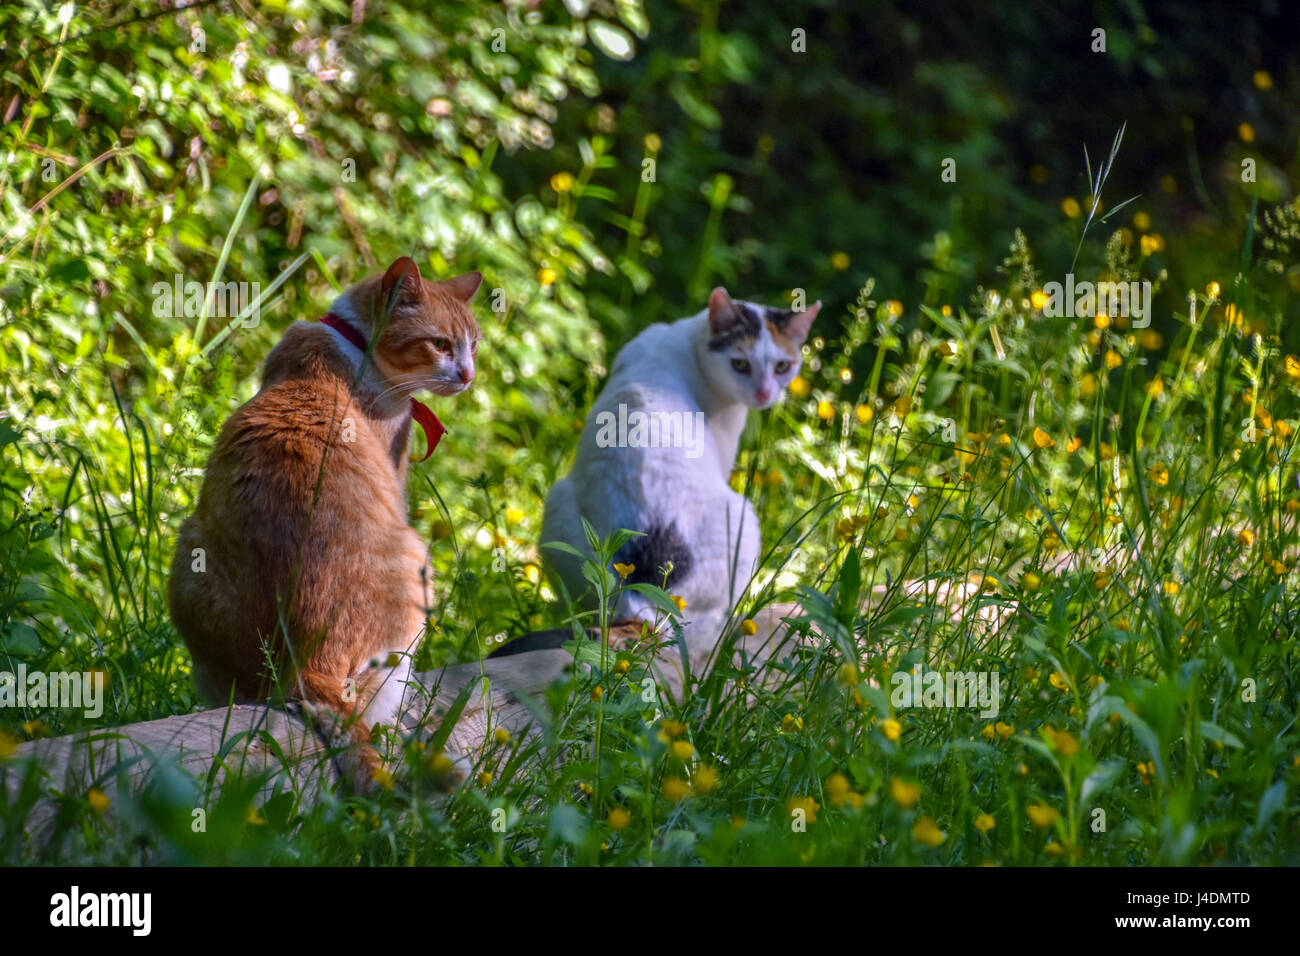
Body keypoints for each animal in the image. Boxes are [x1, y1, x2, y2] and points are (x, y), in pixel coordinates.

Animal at [167, 257, 480, 790]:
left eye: (472, 345)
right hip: (416, 561)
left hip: (190, 556)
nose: (467, 374)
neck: (350, 342)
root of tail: (311, 662)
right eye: (441, 344)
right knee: (374, 715)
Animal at [512, 287, 816, 655]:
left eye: (783, 366)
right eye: (740, 364)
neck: (686, 342)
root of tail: (638, 597)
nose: (764, 393)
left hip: (557, 513)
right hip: (745, 520)